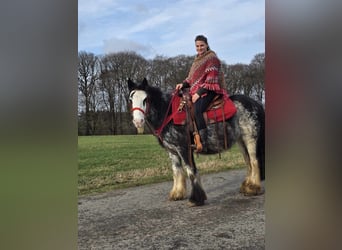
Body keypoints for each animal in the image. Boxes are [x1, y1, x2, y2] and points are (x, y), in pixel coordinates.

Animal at [128, 78, 264, 207]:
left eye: (145, 99)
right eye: (130, 99)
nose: (138, 122)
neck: (169, 114)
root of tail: (255, 103)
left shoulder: (184, 148)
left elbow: (191, 171)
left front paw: (196, 199)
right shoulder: (172, 151)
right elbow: (177, 171)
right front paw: (177, 194)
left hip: (250, 139)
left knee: (254, 161)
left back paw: (253, 188)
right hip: (241, 141)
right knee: (248, 162)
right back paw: (247, 186)